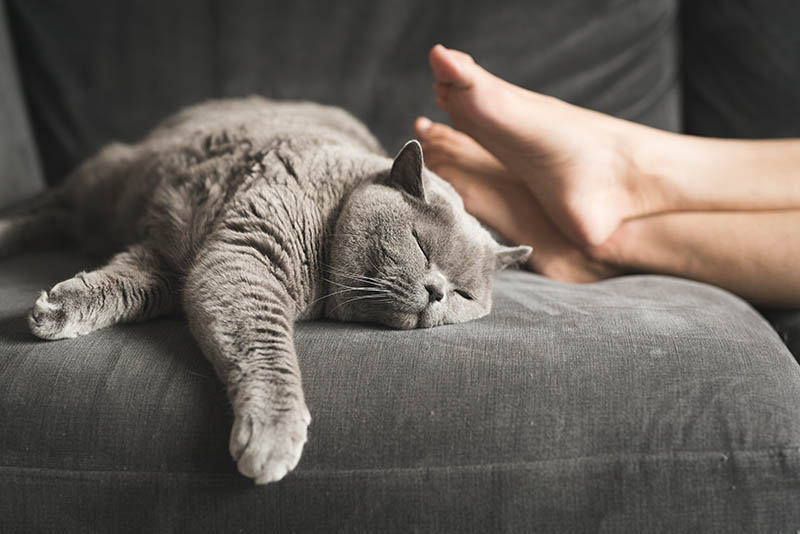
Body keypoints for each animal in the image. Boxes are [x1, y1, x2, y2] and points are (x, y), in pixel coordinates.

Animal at [0, 96, 532, 486]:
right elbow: (267, 345)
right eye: (421, 245)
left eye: (464, 295)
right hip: (109, 178)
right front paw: (275, 436)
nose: (437, 291)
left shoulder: (175, 266)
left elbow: (124, 284)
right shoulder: (245, 256)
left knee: (60, 220)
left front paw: (58, 310)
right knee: (51, 205)